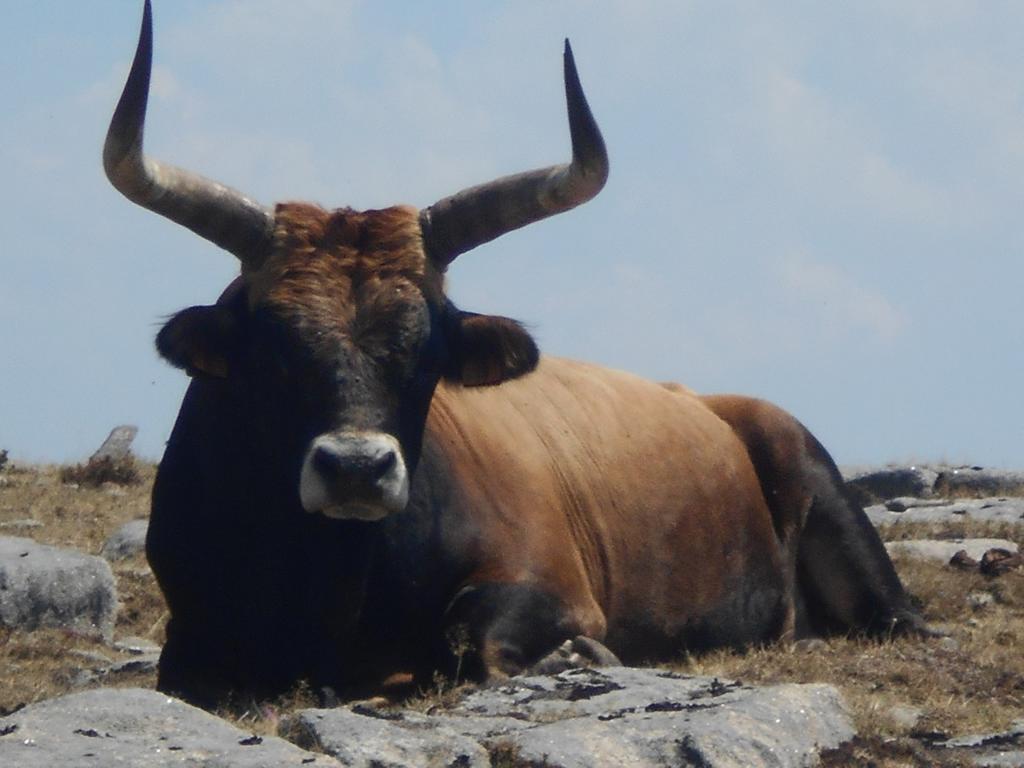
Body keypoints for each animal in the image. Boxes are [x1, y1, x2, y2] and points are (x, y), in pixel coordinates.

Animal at [103, 1, 929, 708]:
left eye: (428, 350)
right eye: (271, 345)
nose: (357, 469)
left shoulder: (550, 584)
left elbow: (472, 641)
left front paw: (577, 655)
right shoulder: (191, 638)